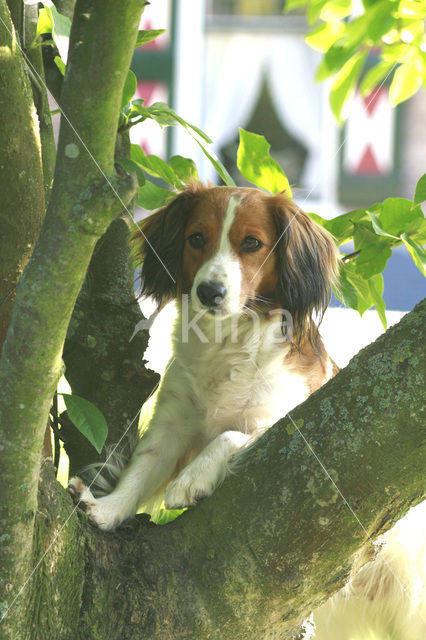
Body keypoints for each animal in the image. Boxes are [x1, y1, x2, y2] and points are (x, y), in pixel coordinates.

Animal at [70, 181, 340, 528]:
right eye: (196, 238)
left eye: (252, 243)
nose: (210, 292)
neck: (225, 341)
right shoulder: (172, 422)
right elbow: (140, 469)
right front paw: (107, 508)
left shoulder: (284, 419)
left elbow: (229, 434)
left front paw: (191, 478)